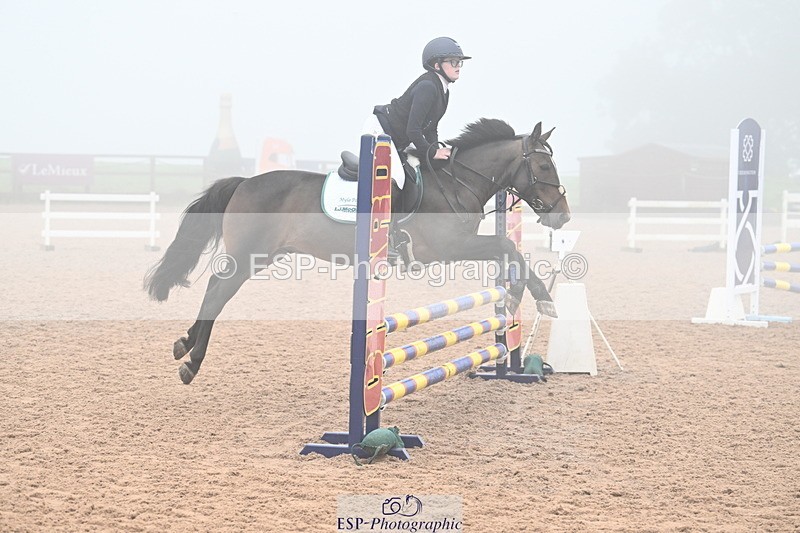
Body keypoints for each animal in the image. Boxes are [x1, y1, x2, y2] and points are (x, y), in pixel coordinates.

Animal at [144, 118, 570, 384]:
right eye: (544, 168)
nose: (563, 216)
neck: (456, 182)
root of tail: (244, 182)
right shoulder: (448, 248)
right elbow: (506, 246)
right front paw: (533, 299)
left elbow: (508, 253)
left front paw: (526, 298)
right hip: (249, 257)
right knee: (218, 290)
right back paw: (193, 362)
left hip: (261, 256)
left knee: (213, 286)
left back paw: (185, 343)